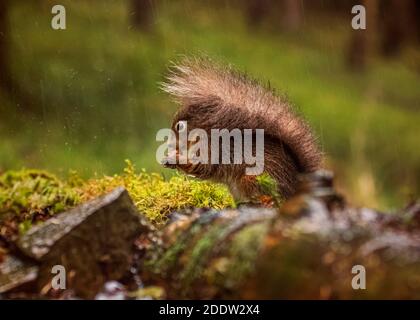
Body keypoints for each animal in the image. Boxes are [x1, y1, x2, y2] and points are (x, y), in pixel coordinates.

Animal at [161, 57, 322, 202]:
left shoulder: (214, 151)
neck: (206, 136)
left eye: (179, 126)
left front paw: (175, 158)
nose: (170, 145)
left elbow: (202, 166)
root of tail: (296, 190)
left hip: (253, 179)